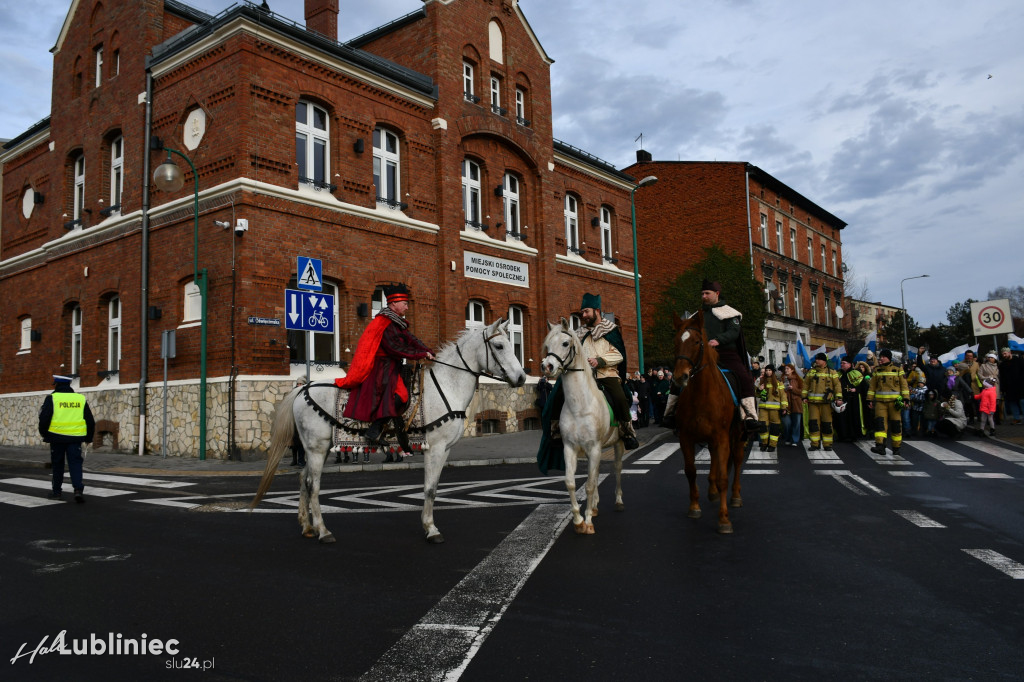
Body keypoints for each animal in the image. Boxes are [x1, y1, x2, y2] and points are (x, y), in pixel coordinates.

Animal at [245, 317, 520, 540]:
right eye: (499, 346)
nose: (520, 377)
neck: (446, 385)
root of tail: (303, 388)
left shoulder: (446, 450)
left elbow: (433, 487)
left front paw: (428, 525)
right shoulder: (435, 448)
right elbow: (430, 489)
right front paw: (431, 529)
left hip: (316, 448)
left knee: (304, 480)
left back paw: (307, 527)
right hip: (316, 447)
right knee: (313, 485)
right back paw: (323, 531)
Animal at [540, 315, 626, 532]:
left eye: (565, 343)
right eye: (547, 345)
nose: (547, 367)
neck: (579, 406)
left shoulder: (595, 447)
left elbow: (588, 484)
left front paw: (587, 523)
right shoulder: (570, 447)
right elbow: (572, 482)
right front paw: (579, 520)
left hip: (618, 444)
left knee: (617, 469)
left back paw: (618, 501)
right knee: (596, 474)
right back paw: (594, 506)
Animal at [667, 309, 749, 532]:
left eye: (697, 342)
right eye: (676, 341)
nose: (680, 377)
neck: (701, 395)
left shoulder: (722, 438)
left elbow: (723, 477)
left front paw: (724, 519)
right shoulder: (686, 438)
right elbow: (691, 471)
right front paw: (694, 507)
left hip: (737, 435)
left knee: (738, 460)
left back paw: (736, 496)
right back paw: (712, 491)